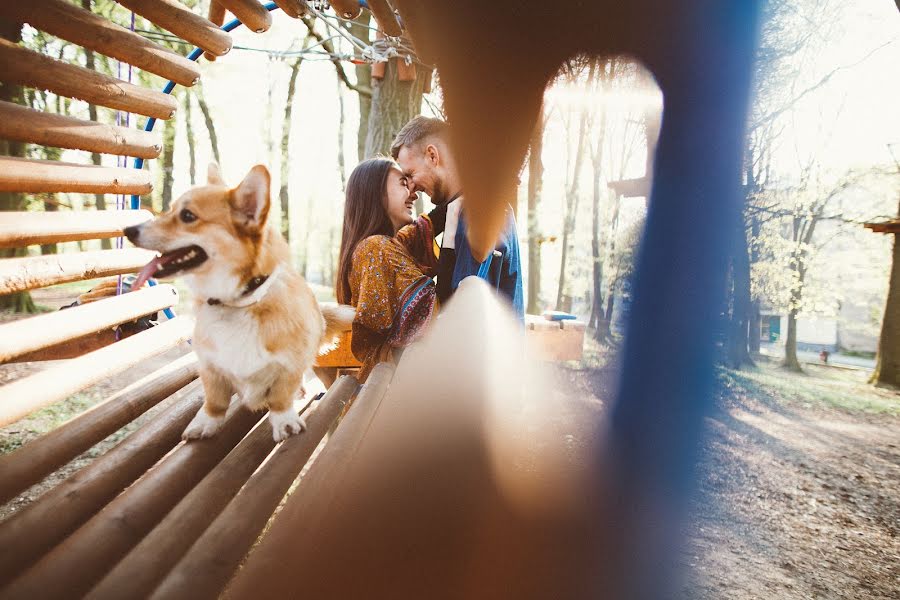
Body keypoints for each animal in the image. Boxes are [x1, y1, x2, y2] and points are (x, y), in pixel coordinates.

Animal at [124, 163, 356, 440]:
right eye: (169, 210)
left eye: (188, 216)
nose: (128, 230)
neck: (239, 303)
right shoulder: (210, 367)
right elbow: (214, 400)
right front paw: (207, 421)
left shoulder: (290, 365)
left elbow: (281, 396)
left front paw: (284, 420)